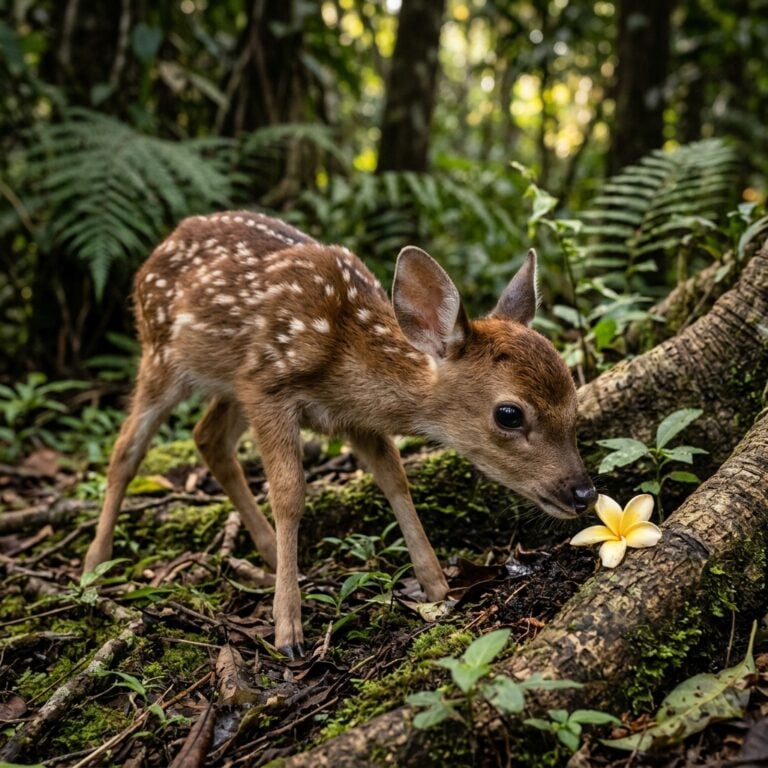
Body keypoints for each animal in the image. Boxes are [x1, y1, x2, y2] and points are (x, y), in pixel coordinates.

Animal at [83, 211, 596, 658]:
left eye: (574, 398)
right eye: (509, 414)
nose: (583, 492)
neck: (345, 359)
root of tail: (159, 247)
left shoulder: (352, 419)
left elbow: (395, 481)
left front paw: (438, 587)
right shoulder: (268, 387)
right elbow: (291, 494)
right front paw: (288, 629)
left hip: (228, 381)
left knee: (207, 437)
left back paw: (268, 551)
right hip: (163, 355)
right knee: (126, 451)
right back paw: (94, 565)